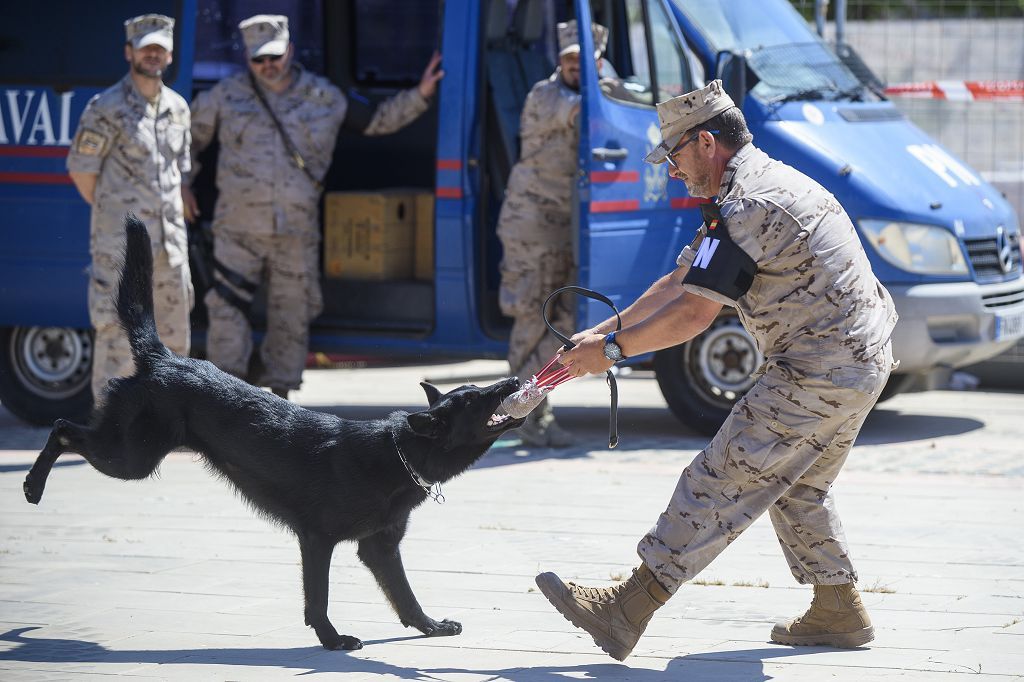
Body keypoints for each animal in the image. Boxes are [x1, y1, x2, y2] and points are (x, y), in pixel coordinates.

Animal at [24, 212, 528, 647]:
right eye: (475, 399)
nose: (515, 380)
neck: (399, 452)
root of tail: (162, 358)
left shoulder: (380, 549)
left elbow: (405, 596)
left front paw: (430, 627)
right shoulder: (318, 540)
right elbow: (318, 599)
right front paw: (332, 640)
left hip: (131, 456)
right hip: (131, 459)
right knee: (62, 428)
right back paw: (32, 485)